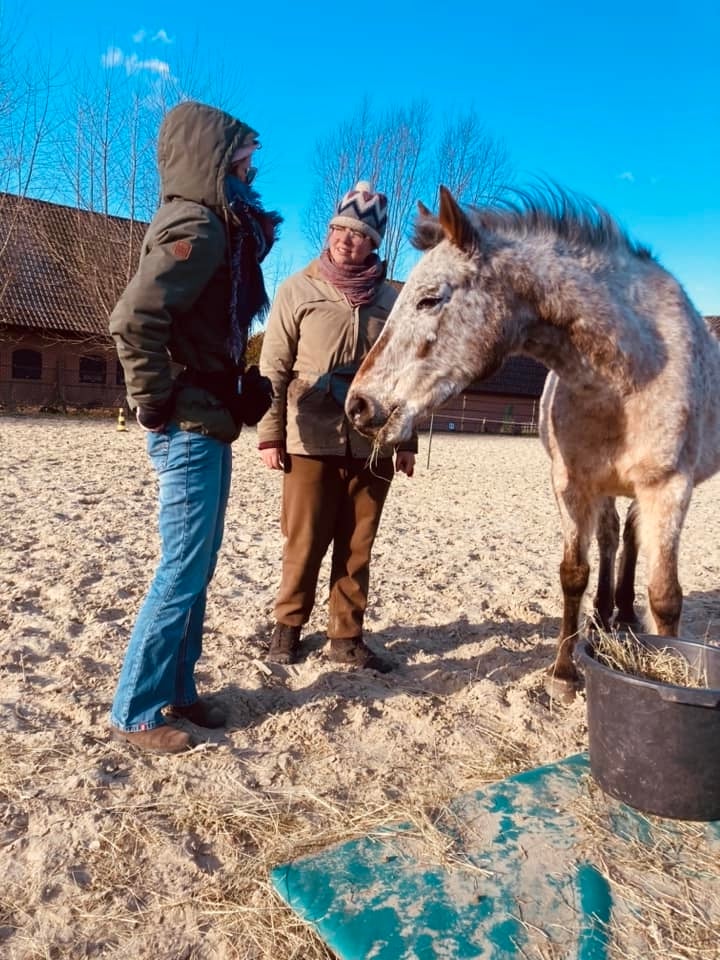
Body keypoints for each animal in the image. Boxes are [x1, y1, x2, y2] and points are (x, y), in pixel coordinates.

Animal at [346, 186, 716, 696]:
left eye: (429, 299)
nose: (358, 405)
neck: (629, 373)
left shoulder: (669, 490)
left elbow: (665, 597)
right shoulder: (571, 484)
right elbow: (574, 574)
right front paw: (563, 672)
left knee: (631, 539)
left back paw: (623, 616)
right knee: (613, 537)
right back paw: (606, 616)